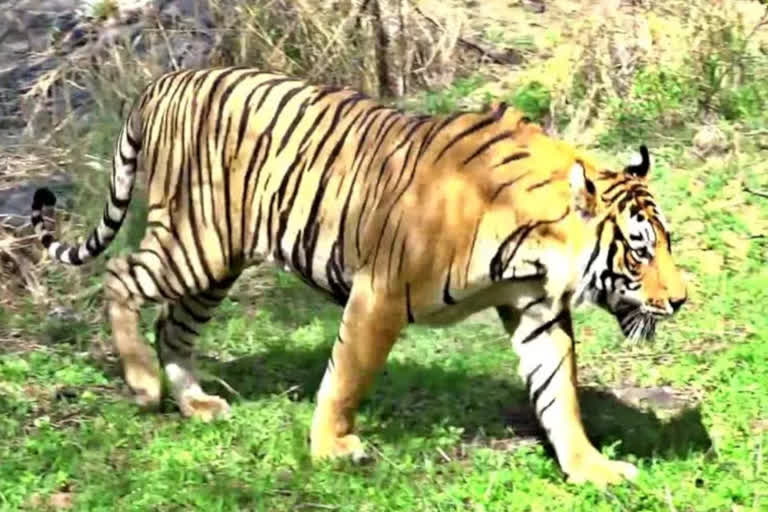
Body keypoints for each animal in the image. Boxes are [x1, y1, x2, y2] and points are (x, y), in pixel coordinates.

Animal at [31, 66, 684, 486]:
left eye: (666, 244)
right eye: (639, 249)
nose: (680, 300)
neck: (539, 246)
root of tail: (160, 84)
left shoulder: (537, 312)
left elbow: (559, 396)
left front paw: (591, 469)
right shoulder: (381, 292)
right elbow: (347, 375)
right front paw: (330, 449)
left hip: (217, 262)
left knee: (172, 324)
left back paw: (195, 403)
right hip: (197, 243)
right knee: (119, 275)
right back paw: (143, 385)